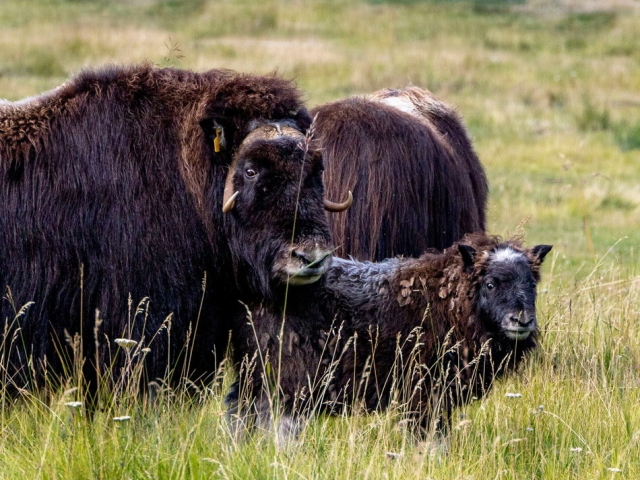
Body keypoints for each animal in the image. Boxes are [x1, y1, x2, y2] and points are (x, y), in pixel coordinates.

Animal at [226, 234, 552, 440]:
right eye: (491, 284)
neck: (450, 301)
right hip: (285, 379)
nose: (521, 320)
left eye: (532, 284)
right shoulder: (424, 391)